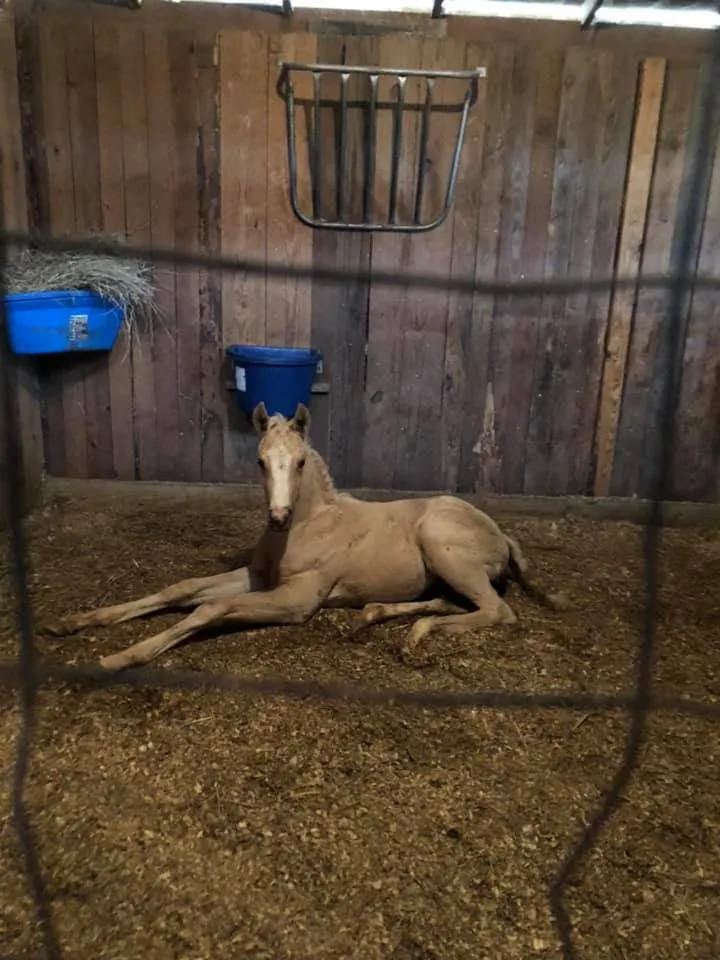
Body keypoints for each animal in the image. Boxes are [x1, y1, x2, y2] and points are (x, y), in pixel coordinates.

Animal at [49, 402, 568, 672]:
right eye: (260, 460)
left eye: (299, 462)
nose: (279, 516)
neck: (306, 528)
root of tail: (502, 534)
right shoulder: (259, 577)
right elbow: (181, 589)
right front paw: (75, 621)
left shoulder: (298, 599)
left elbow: (209, 607)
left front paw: (123, 655)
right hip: (443, 570)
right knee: (451, 601)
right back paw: (375, 616)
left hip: (441, 544)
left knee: (497, 611)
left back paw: (413, 637)